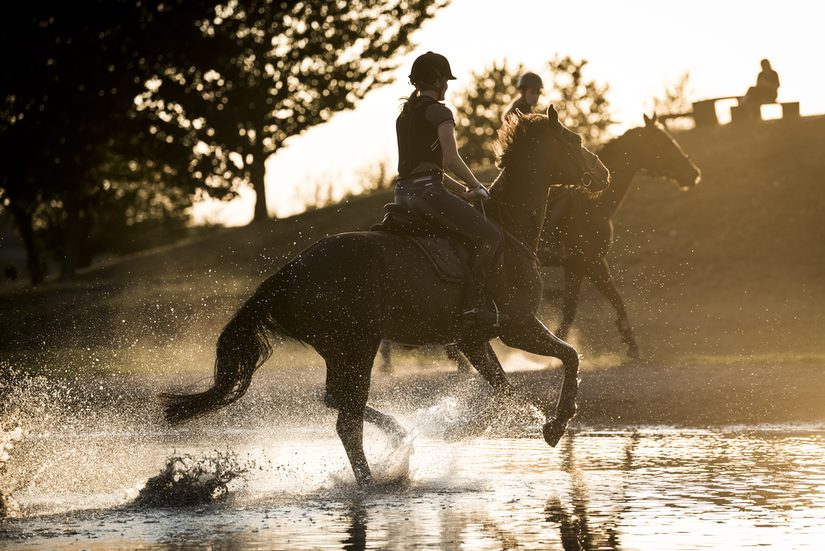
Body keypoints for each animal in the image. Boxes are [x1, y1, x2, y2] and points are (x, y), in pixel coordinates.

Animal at [164, 108, 608, 488]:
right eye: (574, 140)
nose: (602, 173)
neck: (509, 228)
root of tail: (287, 273)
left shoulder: (473, 339)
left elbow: (503, 388)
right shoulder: (517, 326)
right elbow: (569, 356)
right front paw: (555, 424)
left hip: (339, 348)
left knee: (337, 400)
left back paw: (398, 437)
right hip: (359, 343)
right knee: (346, 419)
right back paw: (372, 483)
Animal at [540, 114, 700, 360]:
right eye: (664, 143)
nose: (693, 173)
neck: (593, 204)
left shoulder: (576, 266)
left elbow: (570, 309)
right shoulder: (592, 262)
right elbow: (616, 299)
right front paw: (632, 345)